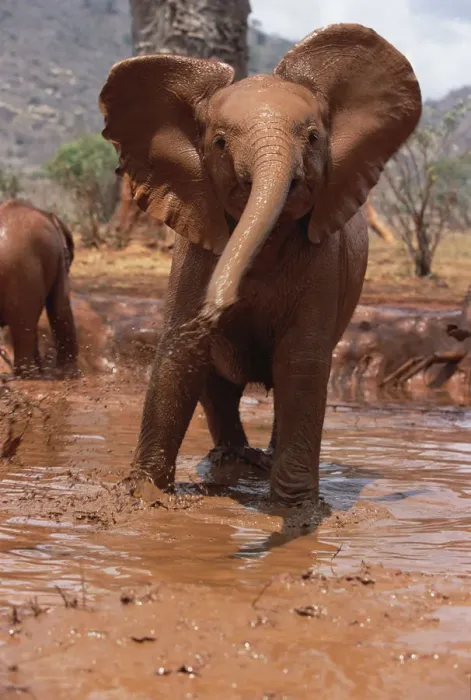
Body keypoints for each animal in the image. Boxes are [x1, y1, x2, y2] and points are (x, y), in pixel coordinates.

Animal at [100, 23, 422, 505]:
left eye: (313, 137)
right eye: (218, 143)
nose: (220, 301)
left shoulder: (323, 262)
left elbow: (301, 361)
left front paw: (296, 506)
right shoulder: (196, 251)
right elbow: (181, 353)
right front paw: (144, 497)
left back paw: (258, 461)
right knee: (218, 385)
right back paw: (232, 459)